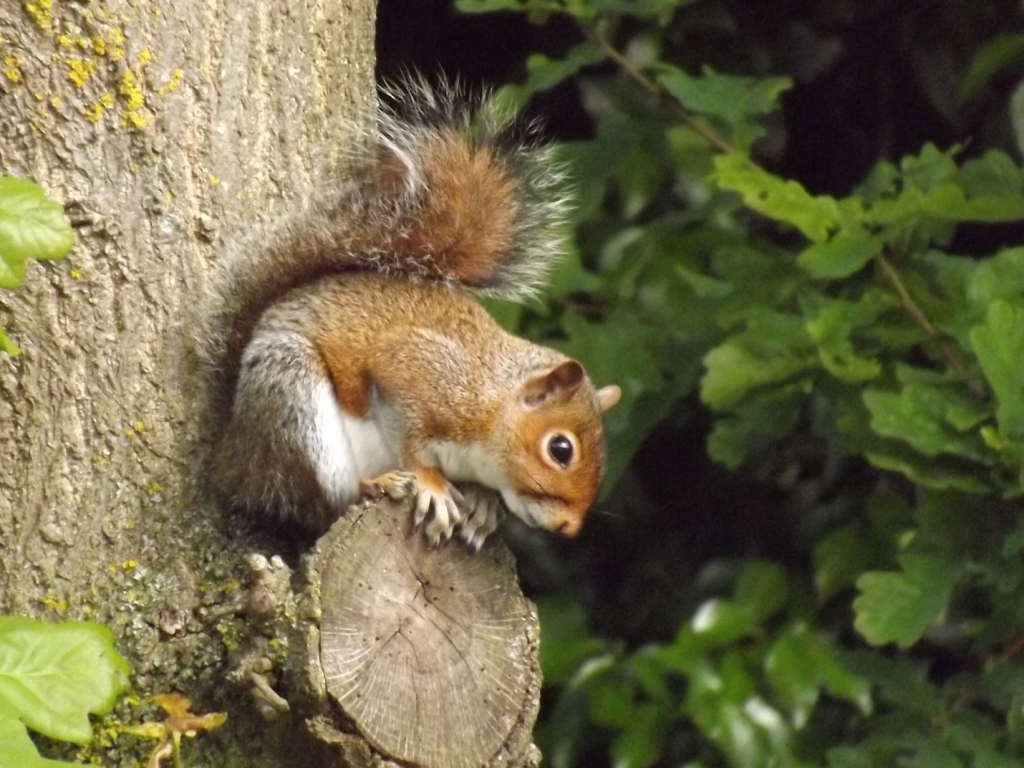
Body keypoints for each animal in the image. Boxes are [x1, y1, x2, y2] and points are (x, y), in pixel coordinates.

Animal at [197, 81, 614, 548]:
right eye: (561, 449)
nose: (569, 529)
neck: (491, 401)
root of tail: (234, 452)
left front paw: (484, 504)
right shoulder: (420, 370)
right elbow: (408, 436)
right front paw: (431, 484)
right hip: (289, 395)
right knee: (320, 500)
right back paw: (374, 484)